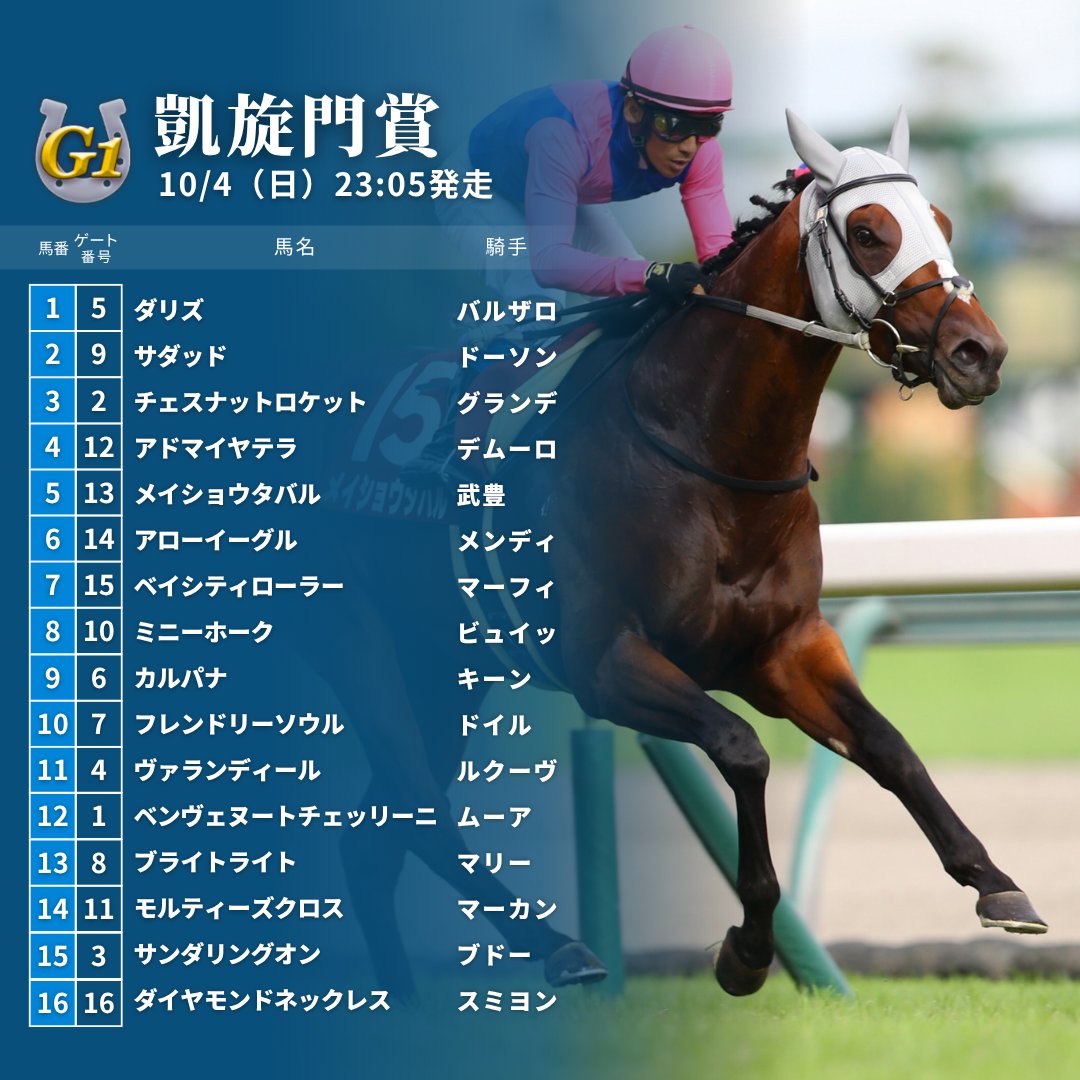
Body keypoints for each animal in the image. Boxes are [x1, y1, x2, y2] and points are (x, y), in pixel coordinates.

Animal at [303, 107, 1045, 1001]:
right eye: (870, 233)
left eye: (941, 223)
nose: (980, 354)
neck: (709, 448)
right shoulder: (605, 661)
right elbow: (743, 751)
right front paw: (747, 948)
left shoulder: (786, 648)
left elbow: (889, 747)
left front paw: (996, 884)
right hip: (362, 645)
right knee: (414, 813)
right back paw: (558, 946)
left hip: (447, 673)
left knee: (376, 839)